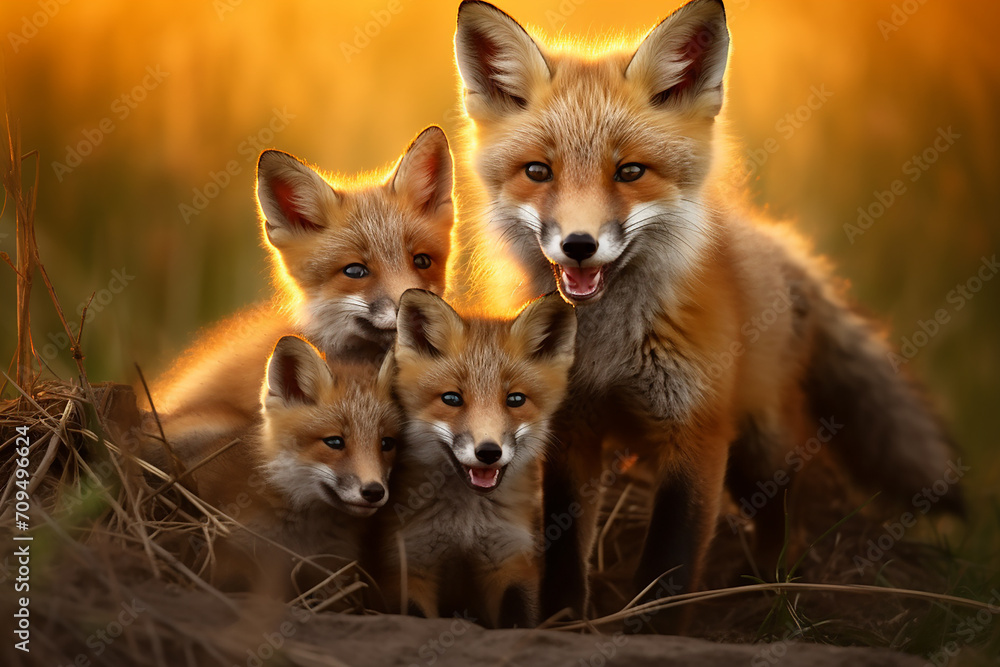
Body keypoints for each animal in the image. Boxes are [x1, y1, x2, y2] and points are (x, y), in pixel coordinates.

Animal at [378, 289, 576, 628]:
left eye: (515, 399)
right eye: (451, 398)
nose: (488, 452)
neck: (465, 523)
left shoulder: (510, 557)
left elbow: (518, 617)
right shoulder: (408, 563)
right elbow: (416, 617)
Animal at [454, 0, 963, 621]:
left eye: (630, 172)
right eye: (537, 171)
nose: (578, 245)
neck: (609, 349)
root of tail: (778, 245)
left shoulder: (694, 431)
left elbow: (669, 563)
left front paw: (649, 626)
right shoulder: (570, 429)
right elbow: (563, 547)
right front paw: (563, 620)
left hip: (758, 446)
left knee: (784, 508)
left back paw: (772, 586)